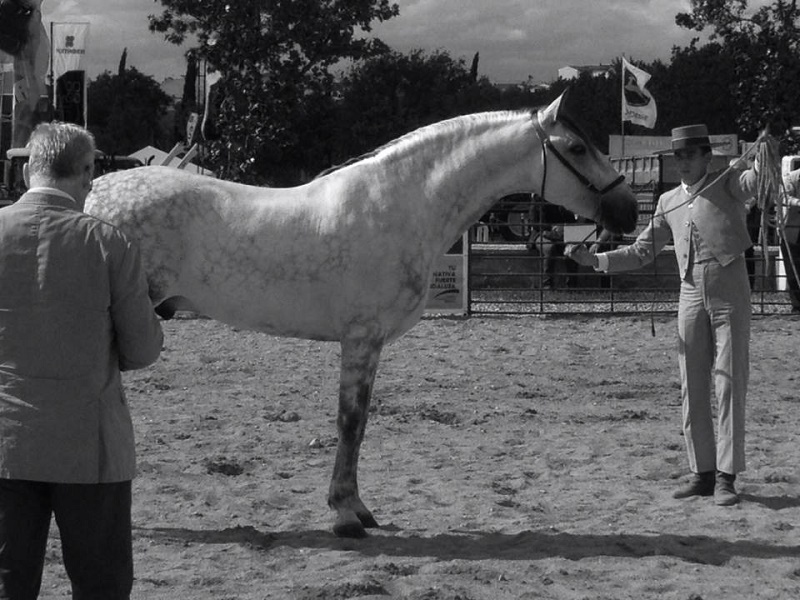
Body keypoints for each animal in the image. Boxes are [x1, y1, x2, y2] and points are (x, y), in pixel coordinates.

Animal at [85, 92, 638, 538]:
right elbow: (351, 421)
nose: (629, 211)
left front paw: (357, 508)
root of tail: (94, 192)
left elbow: (361, 422)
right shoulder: (362, 339)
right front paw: (346, 515)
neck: (399, 204)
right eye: (576, 148)